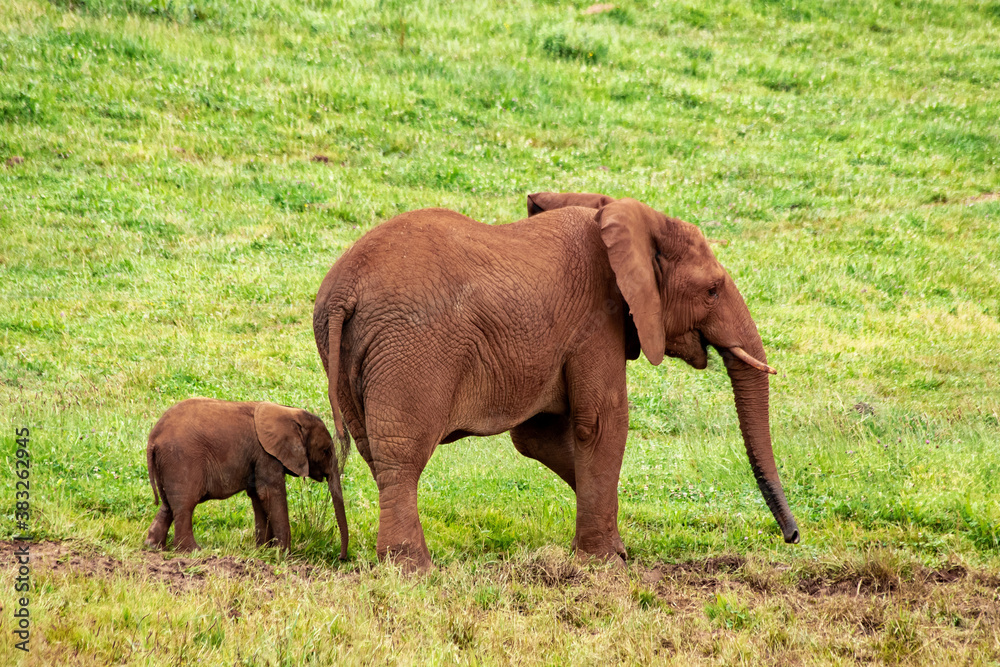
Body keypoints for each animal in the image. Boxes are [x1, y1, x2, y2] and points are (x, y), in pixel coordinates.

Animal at [143, 396, 350, 560]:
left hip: (168, 463)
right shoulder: (266, 455)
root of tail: (153, 438)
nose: (341, 558)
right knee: (185, 505)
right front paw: (283, 555)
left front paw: (263, 551)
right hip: (181, 459)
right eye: (326, 451)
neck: (288, 412)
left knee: (168, 505)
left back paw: (154, 547)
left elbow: (258, 496)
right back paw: (192, 551)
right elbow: (270, 494)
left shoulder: (258, 457)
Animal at [312, 193, 796, 576]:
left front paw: (616, 548)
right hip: (411, 349)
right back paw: (413, 570)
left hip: (347, 354)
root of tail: (342, 292)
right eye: (713, 290)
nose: (791, 536)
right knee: (402, 455)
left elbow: (540, 438)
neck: (623, 220)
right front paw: (606, 563)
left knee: (373, 450)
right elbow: (601, 423)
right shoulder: (597, 319)